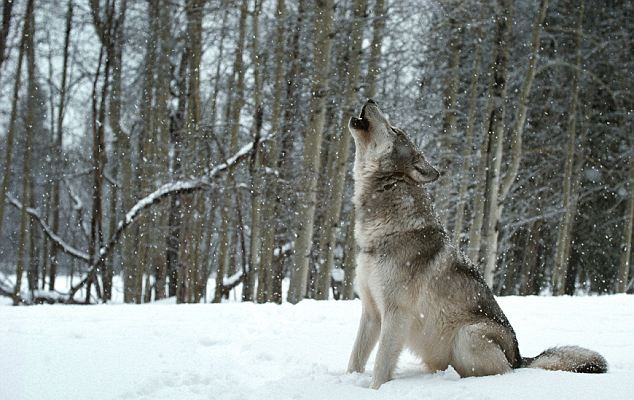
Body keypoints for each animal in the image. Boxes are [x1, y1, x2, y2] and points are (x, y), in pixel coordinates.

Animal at [346, 98, 608, 390]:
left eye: (394, 129)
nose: (371, 100)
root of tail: (520, 358)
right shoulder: (371, 313)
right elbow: (354, 359)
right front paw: (348, 381)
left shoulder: (396, 314)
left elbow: (381, 366)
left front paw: (375, 390)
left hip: (467, 336)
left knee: (501, 372)